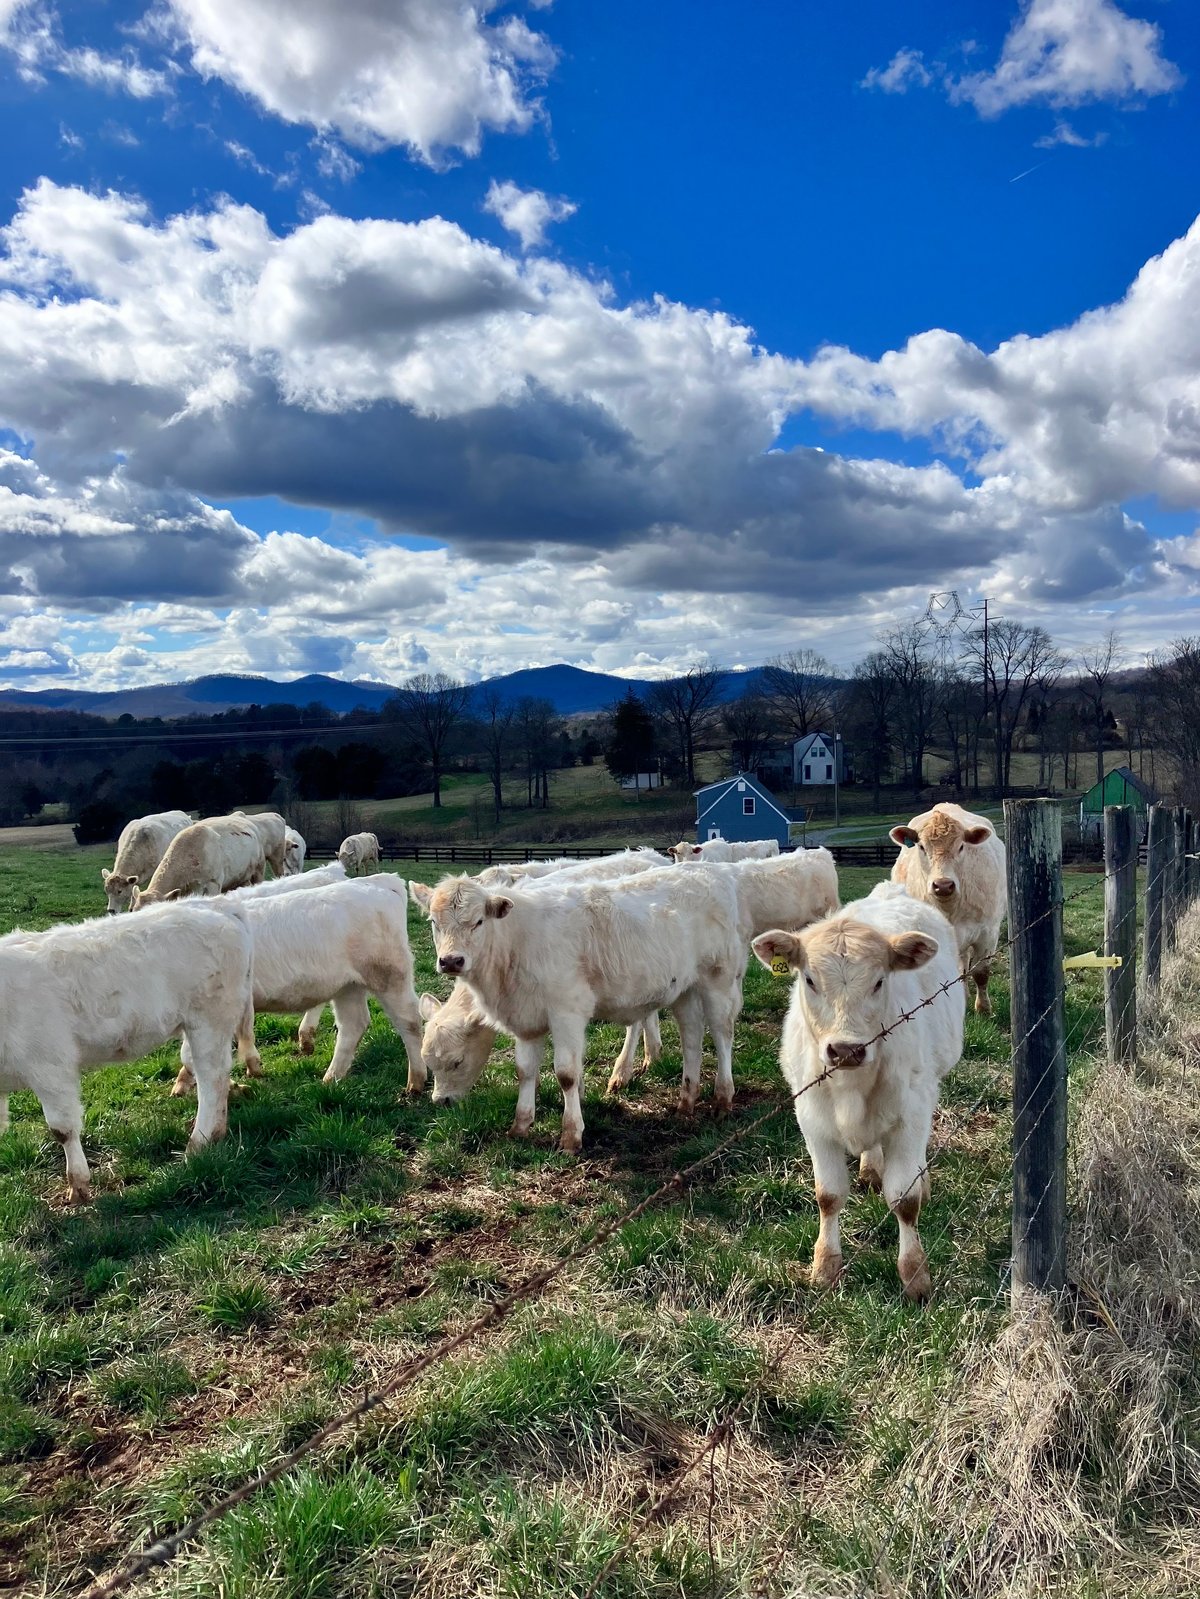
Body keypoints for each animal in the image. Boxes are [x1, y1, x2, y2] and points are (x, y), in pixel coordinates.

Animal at [0, 902, 253, 1202]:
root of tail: (218, 908)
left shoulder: (50, 1064)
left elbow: (62, 1128)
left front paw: (78, 1186)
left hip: (210, 1018)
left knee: (212, 1078)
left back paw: (198, 1143)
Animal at [172, 876, 425, 1094]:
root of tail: (380, 880)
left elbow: (191, 1055)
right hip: (348, 986)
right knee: (353, 1024)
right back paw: (331, 1077)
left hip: (390, 976)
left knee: (410, 1021)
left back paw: (416, 1081)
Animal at [410, 867, 745, 1152]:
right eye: (434, 923)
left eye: (478, 921)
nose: (451, 961)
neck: (515, 943)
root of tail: (707, 871)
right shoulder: (526, 1018)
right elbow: (524, 1071)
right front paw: (520, 1126)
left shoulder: (567, 1012)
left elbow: (566, 1074)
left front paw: (571, 1136)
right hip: (683, 990)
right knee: (692, 1038)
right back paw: (686, 1103)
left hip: (718, 979)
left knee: (722, 1034)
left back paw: (723, 1098)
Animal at [752, 882, 963, 1300]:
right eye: (809, 980)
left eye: (880, 980)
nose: (846, 1049)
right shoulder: (811, 1118)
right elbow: (828, 1195)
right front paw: (825, 1266)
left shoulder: (911, 1114)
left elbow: (905, 1199)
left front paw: (915, 1275)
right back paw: (870, 1167)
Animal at [889, 803, 1007, 1015]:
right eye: (921, 847)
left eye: (961, 846)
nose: (943, 885)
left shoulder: (988, 933)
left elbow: (981, 973)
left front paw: (983, 1008)